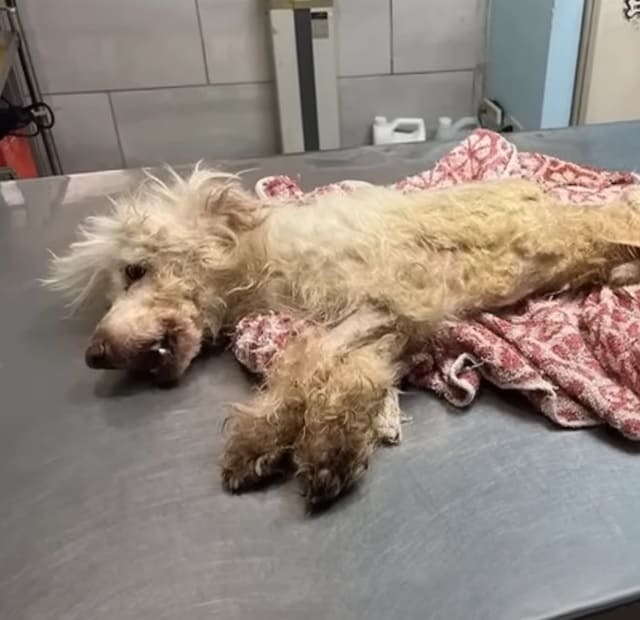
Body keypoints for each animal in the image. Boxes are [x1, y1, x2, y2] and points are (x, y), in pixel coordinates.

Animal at [47, 166, 640, 508]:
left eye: (135, 270)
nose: (93, 355)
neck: (268, 259)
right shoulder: (386, 322)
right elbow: (346, 372)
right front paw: (298, 440)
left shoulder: (387, 297)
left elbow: (308, 358)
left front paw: (290, 440)